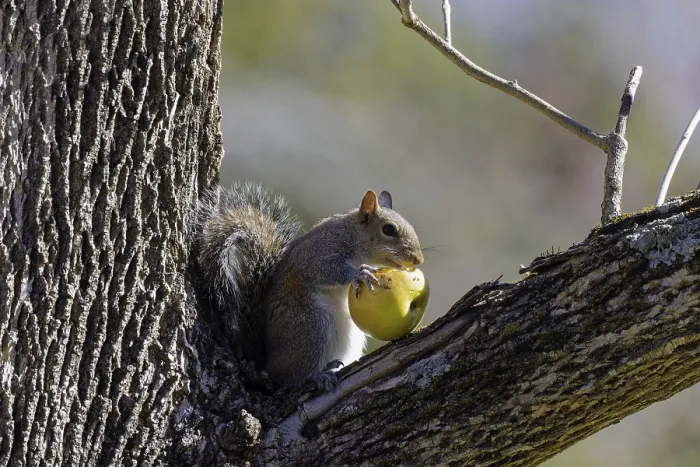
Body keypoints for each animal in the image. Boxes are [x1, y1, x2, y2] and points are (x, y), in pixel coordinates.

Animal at [193, 182, 424, 389]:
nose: (418, 259)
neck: (352, 235)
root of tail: (267, 363)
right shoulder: (318, 253)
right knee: (289, 378)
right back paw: (316, 376)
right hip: (312, 327)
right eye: (389, 229)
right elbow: (327, 270)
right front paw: (359, 273)